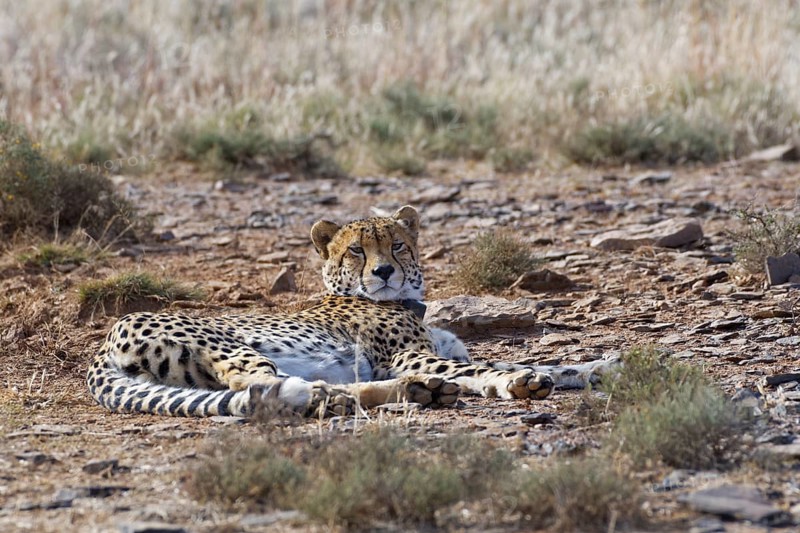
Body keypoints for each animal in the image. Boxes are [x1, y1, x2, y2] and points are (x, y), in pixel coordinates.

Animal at [87, 205, 613, 418]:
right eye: (357, 250)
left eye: (397, 244)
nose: (383, 271)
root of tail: (106, 339)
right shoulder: (409, 355)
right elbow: (489, 369)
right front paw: (516, 382)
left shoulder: (432, 354)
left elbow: (541, 362)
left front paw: (597, 366)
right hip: (234, 348)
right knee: (259, 388)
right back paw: (344, 399)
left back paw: (417, 392)